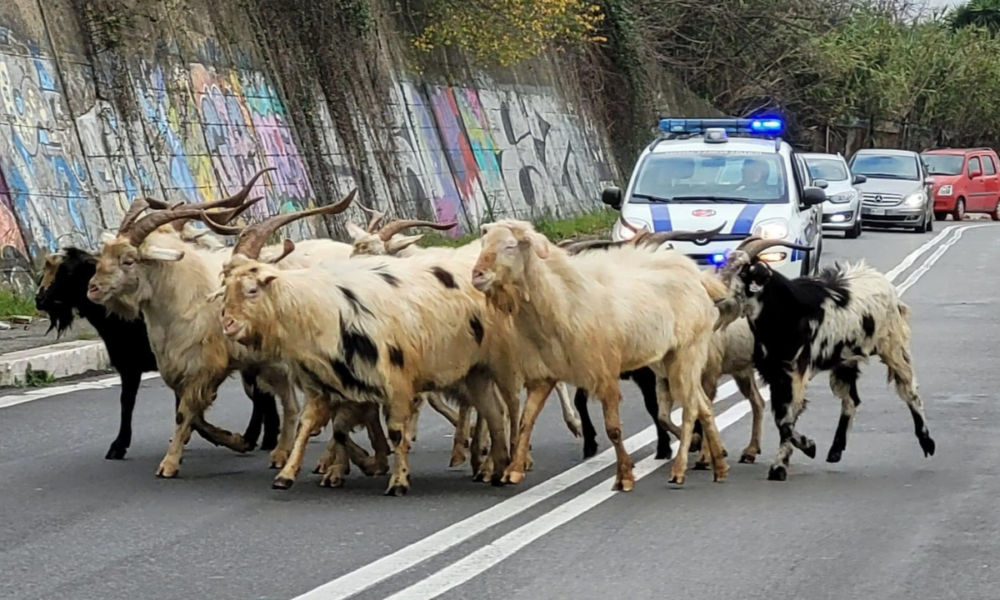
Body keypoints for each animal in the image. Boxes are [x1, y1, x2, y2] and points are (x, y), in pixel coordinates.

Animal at [36, 248, 280, 460]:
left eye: (68, 271)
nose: (40, 299)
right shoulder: (130, 364)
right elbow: (128, 401)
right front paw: (121, 445)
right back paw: (265, 436)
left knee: (259, 393)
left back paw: (258, 437)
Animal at [472, 218, 732, 490]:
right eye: (483, 243)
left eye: (510, 245)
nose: (477, 275)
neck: (563, 299)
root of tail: (696, 274)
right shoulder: (545, 374)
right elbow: (526, 420)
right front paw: (513, 470)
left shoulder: (604, 372)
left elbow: (614, 428)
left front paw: (624, 476)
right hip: (665, 359)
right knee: (703, 404)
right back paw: (719, 466)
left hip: (687, 352)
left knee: (691, 407)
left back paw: (679, 470)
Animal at [716, 237, 932, 480]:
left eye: (743, 272)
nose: (716, 294)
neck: (786, 313)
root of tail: (880, 279)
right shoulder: (773, 373)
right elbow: (782, 419)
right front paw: (804, 449)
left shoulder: (794, 372)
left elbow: (787, 419)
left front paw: (783, 464)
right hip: (846, 359)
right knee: (851, 399)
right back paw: (836, 450)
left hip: (893, 345)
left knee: (909, 389)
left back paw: (927, 442)